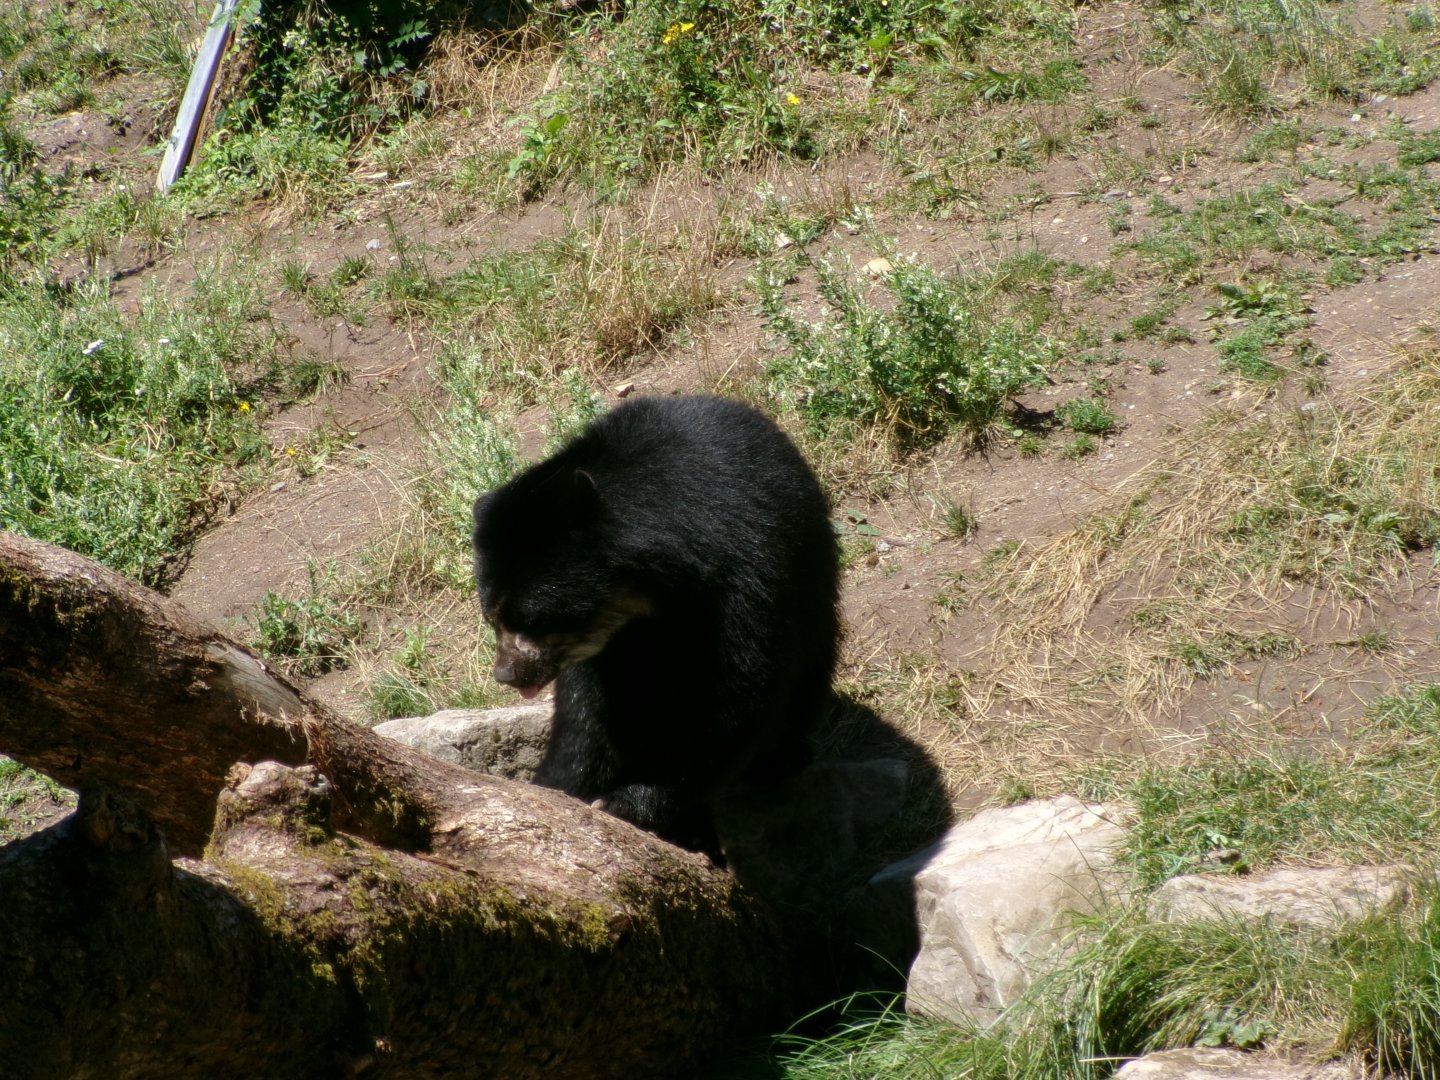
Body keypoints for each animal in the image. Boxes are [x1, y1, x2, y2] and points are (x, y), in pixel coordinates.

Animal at [471, 394, 840, 855]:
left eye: (530, 620)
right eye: (492, 618)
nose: (506, 674)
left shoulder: (745, 574)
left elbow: (735, 697)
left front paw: (624, 803)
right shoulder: (613, 644)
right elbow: (591, 711)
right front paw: (559, 787)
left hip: (814, 582)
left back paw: (780, 760)